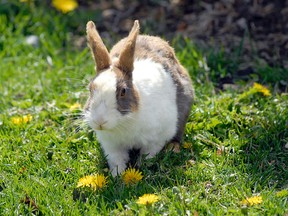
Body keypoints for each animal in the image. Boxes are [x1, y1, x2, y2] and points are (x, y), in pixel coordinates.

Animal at [84, 19, 195, 176]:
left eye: (123, 91)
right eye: (90, 89)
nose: (100, 121)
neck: (123, 122)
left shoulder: (157, 138)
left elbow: (149, 154)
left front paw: (141, 168)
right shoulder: (112, 146)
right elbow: (117, 160)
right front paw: (117, 175)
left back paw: (173, 148)